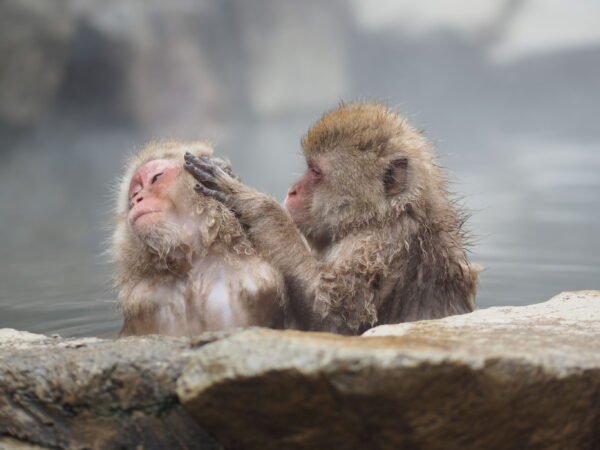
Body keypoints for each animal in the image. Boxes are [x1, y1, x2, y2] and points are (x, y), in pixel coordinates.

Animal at [112, 142, 286, 336]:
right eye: (135, 191)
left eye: (156, 178)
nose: (136, 199)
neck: (192, 266)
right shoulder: (140, 300)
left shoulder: (260, 282)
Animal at [185, 102, 480, 334]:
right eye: (308, 167)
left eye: (315, 172)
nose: (292, 191)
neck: (377, 217)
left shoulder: (379, 247)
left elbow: (333, 318)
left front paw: (254, 203)